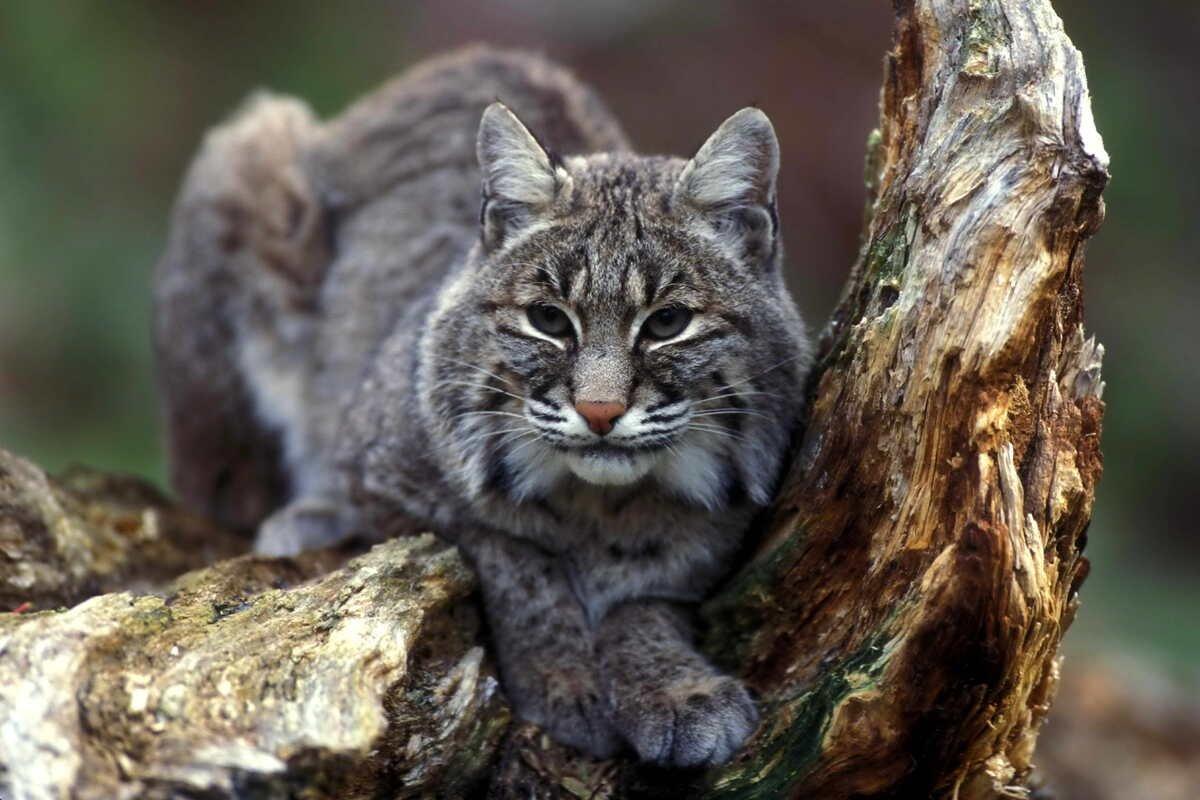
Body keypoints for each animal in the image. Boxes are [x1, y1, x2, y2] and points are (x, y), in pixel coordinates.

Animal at [154, 45, 811, 767]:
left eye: (667, 323)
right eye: (548, 320)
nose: (600, 412)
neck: (604, 504)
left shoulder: (721, 535)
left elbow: (643, 601)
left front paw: (678, 689)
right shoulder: (380, 469)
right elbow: (512, 558)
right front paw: (566, 682)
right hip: (249, 159)